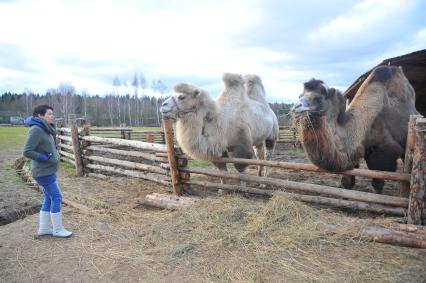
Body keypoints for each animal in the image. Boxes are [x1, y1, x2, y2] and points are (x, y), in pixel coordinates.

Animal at [292, 65, 420, 194]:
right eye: (300, 96)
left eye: (317, 98)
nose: (294, 108)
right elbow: (347, 182)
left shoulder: (384, 151)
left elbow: (377, 183)